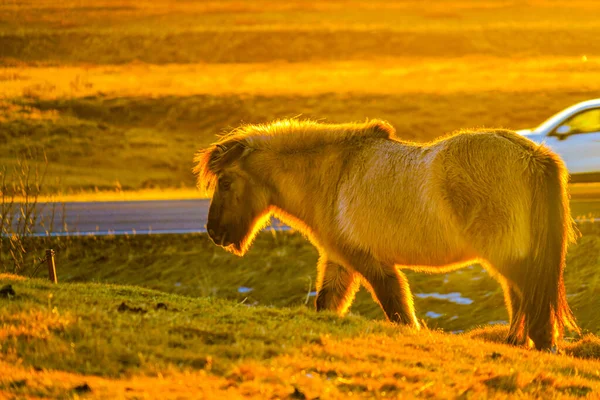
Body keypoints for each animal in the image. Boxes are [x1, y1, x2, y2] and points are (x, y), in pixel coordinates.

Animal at [195, 119, 580, 350]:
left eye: (225, 182)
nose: (214, 233)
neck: (332, 176)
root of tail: (531, 155)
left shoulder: (372, 264)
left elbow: (399, 313)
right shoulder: (339, 262)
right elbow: (327, 305)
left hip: (510, 259)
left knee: (534, 309)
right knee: (521, 305)